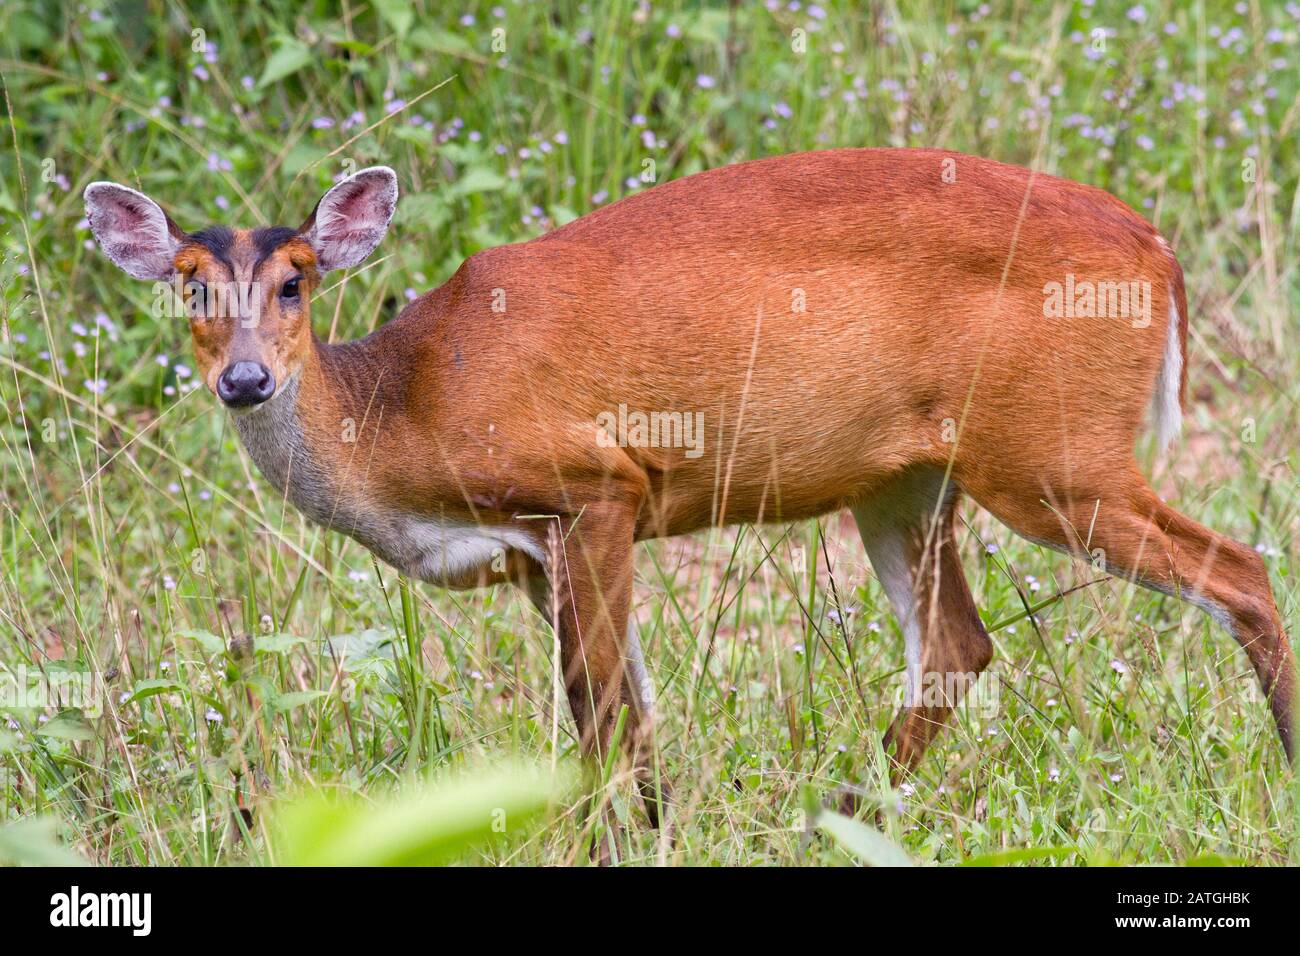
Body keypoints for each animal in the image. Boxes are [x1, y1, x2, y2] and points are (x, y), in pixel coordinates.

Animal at [86, 147, 1294, 832]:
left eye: (296, 281)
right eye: (190, 288)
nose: (246, 379)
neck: (403, 412)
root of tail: (1156, 250)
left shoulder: (595, 486)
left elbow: (603, 707)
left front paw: (616, 836)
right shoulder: (537, 553)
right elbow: (625, 707)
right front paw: (656, 826)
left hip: (1052, 452)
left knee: (1240, 566)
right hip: (910, 476)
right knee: (959, 642)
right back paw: (833, 817)